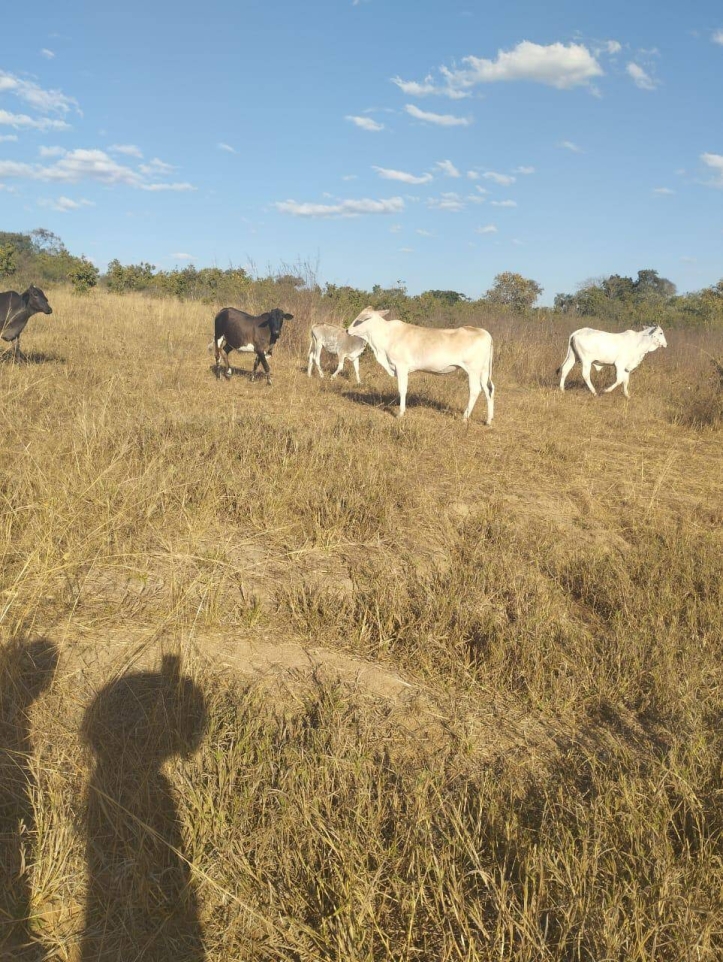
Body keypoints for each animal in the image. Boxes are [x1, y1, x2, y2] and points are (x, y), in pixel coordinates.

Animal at [348, 304, 494, 416]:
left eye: (360, 320)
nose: (347, 330)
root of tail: (485, 333)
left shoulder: (401, 367)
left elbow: (402, 389)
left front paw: (401, 413)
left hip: (473, 370)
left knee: (475, 390)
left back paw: (465, 416)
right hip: (483, 371)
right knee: (489, 390)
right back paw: (488, 420)